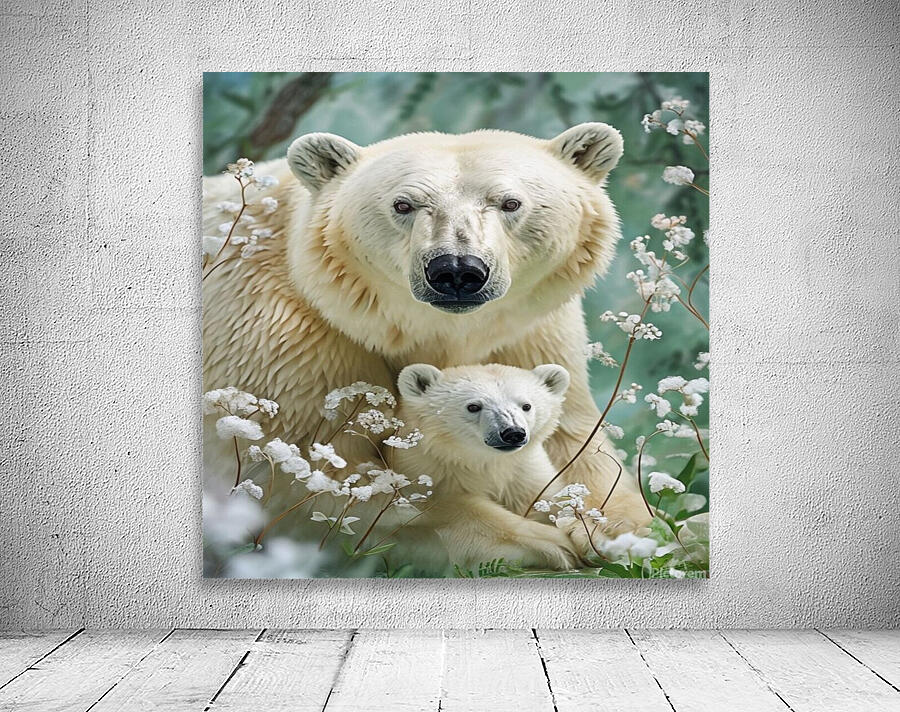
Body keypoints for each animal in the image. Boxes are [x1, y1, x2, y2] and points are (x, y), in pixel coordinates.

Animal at [202, 123, 651, 539]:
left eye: (510, 202)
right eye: (403, 204)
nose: (456, 270)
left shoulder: (529, 334)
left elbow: (576, 447)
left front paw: (624, 531)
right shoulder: (288, 341)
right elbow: (311, 473)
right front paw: (541, 539)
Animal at [390, 362, 582, 570]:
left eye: (526, 406)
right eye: (473, 406)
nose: (513, 432)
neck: (484, 461)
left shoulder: (524, 471)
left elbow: (550, 498)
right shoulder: (432, 473)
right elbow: (464, 513)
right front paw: (558, 547)